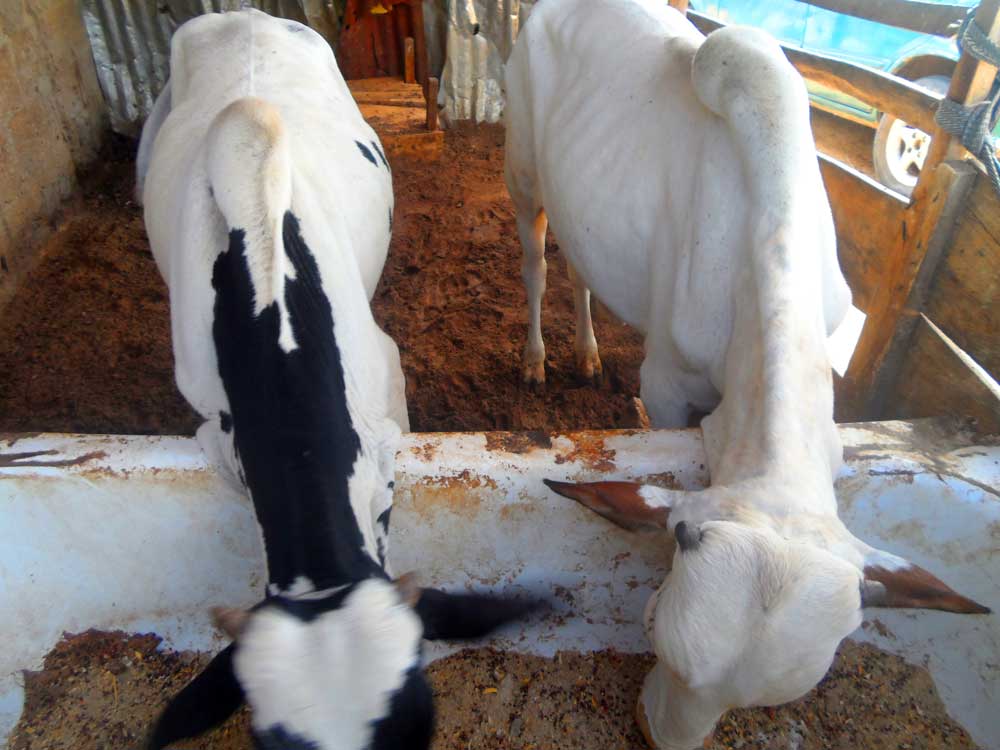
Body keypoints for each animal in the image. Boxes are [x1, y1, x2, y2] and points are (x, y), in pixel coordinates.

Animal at [503, 1, 990, 748]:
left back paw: (586, 354)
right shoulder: (665, 386)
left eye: (762, 703)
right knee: (534, 261)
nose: (654, 732)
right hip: (523, 167)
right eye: (654, 630)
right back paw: (535, 360)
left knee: (580, 269)